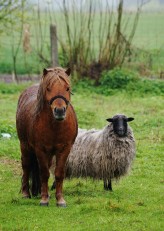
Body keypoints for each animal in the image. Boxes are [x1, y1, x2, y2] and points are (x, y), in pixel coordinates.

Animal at [16, 66, 78, 206]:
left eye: (67, 88)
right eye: (48, 88)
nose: (59, 111)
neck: (55, 126)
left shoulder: (64, 149)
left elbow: (59, 173)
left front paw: (60, 200)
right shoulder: (40, 149)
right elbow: (44, 173)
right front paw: (44, 199)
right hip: (24, 146)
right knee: (26, 166)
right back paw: (26, 193)